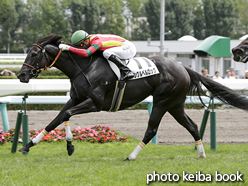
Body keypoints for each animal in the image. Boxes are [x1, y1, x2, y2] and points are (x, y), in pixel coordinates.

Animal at [17, 34, 248, 160]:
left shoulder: (95, 103)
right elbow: (56, 119)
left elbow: (66, 115)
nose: (21, 75)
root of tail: (183, 68)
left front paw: (69, 146)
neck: (84, 67)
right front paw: (27, 145)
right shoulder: (75, 99)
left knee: (151, 129)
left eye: (34, 54)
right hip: (175, 104)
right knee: (191, 126)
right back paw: (201, 154)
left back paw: (131, 156)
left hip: (162, 101)